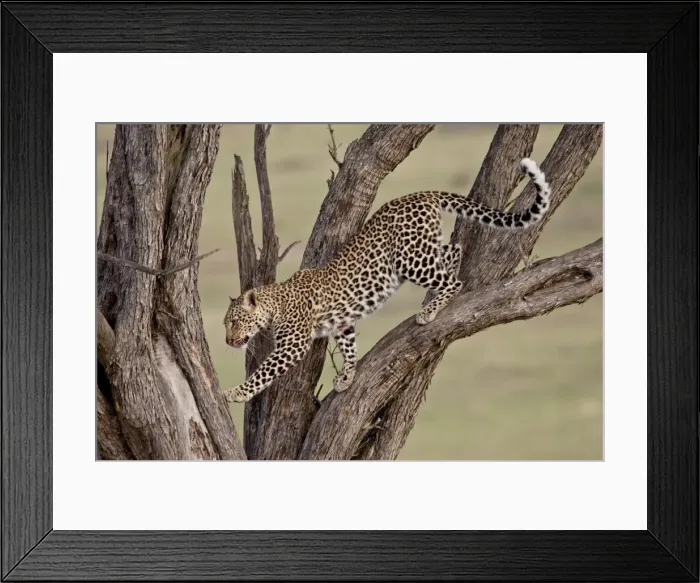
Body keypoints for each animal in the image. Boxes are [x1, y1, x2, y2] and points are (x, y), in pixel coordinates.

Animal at [221, 157, 551, 404]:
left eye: (235, 321)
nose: (227, 341)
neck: (275, 304)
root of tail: (420, 194)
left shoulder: (292, 346)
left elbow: (263, 372)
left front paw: (236, 393)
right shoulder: (343, 324)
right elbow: (350, 349)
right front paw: (347, 377)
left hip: (409, 259)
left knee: (453, 280)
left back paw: (430, 309)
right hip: (421, 249)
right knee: (455, 248)